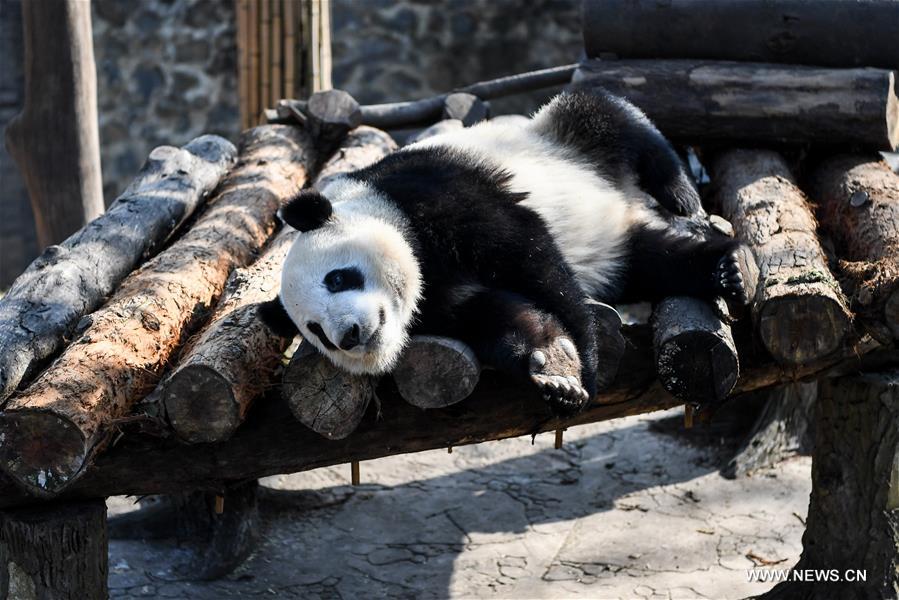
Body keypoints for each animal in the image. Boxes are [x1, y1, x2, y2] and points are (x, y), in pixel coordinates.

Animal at [259, 90, 757, 416]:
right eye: (316, 330)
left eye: (338, 278)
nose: (349, 336)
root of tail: (628, 202)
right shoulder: (439, 304)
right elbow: (495, 313)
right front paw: (554, 371)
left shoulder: (433, 190)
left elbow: (527, 254)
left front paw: (588, 369)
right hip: (617, 249)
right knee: (655, 261)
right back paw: (722, 269)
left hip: (560, 140)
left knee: (612, 120)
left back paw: (688, 204)